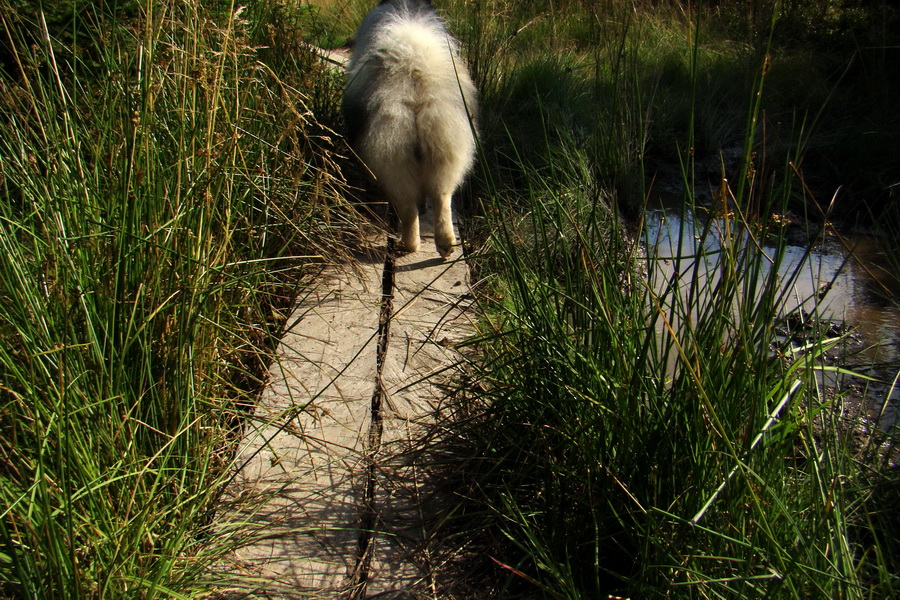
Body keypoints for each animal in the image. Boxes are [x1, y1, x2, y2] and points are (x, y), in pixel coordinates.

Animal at [342, 0, 478, 255]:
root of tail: (415, 74)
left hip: (393, 157)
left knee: (408, 208)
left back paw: (409, 245)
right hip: (445, 148)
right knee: (441, 198)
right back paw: (445, 245)